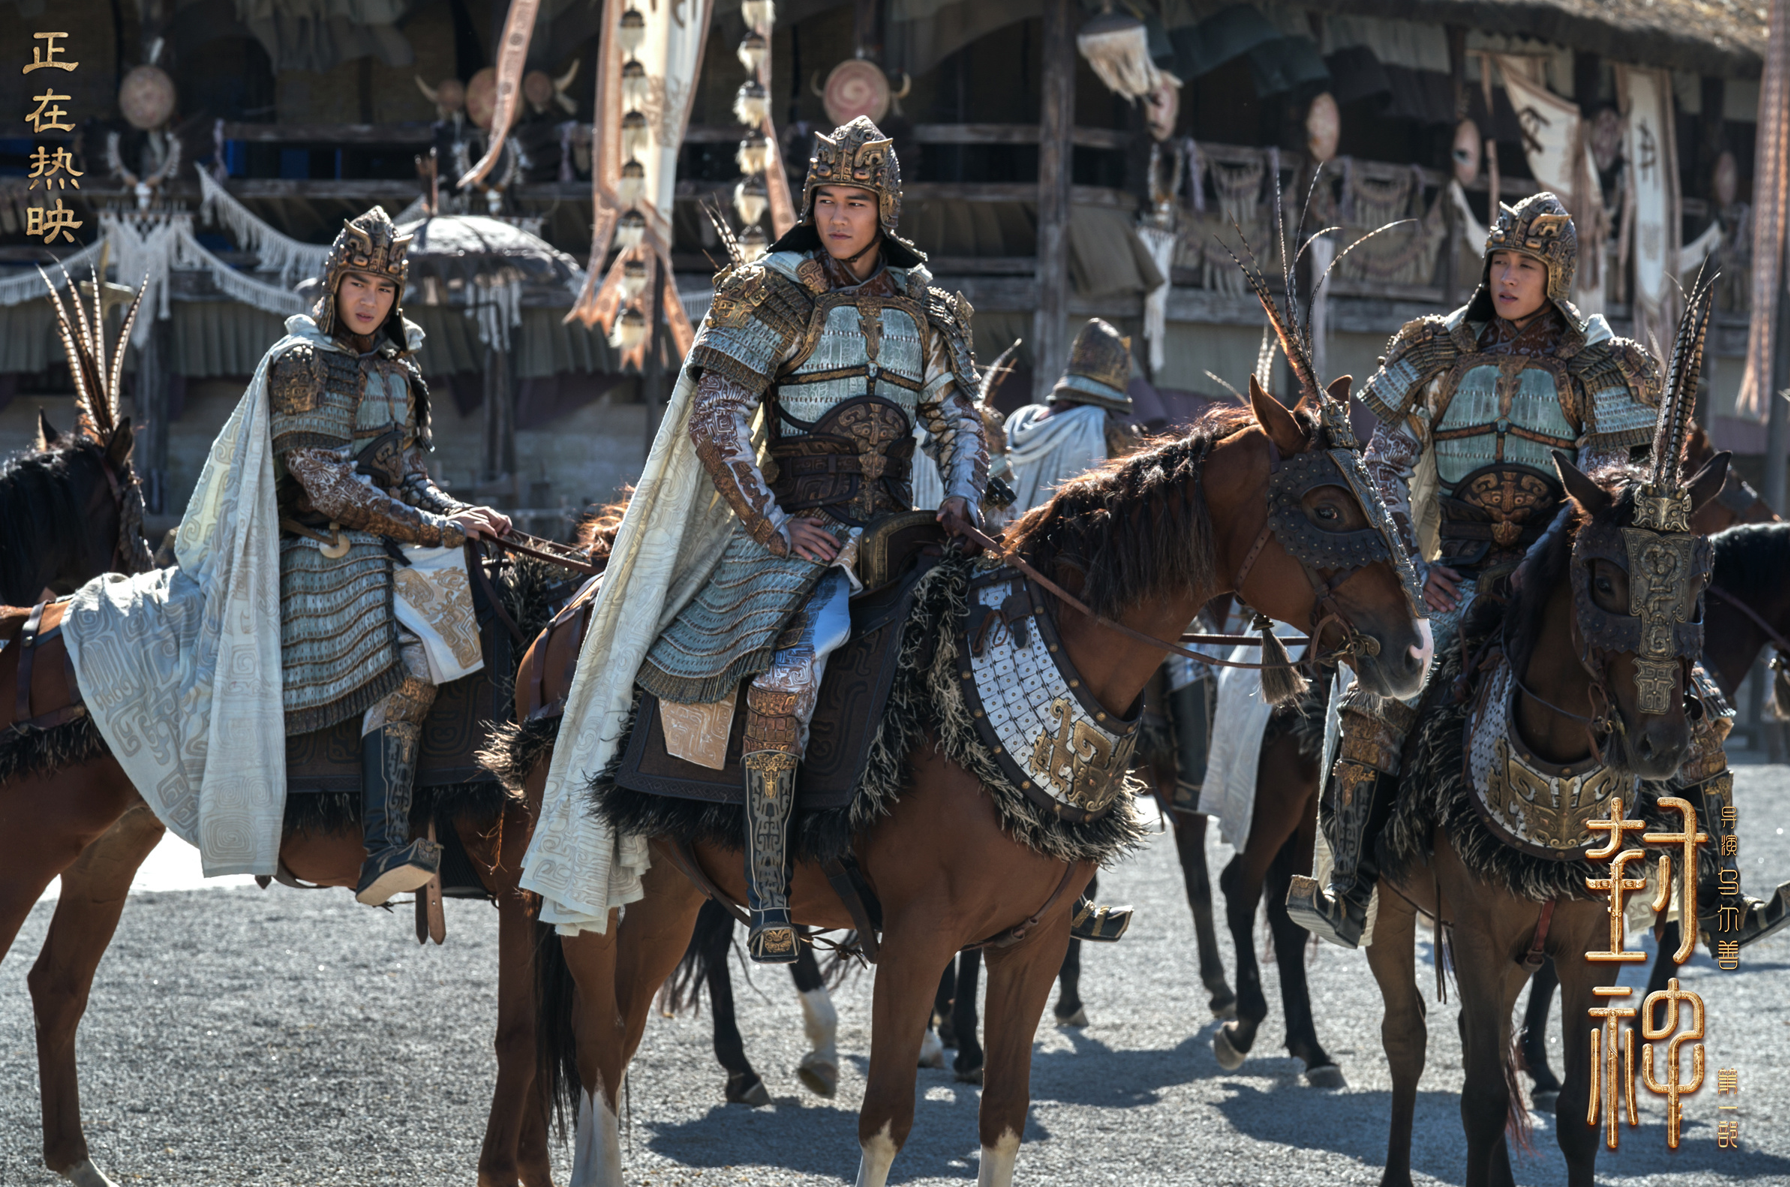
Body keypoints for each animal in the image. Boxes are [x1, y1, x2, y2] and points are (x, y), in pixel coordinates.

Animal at [0, 505, 620, 1187]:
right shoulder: (522, 893)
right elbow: (523, 1040)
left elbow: (543, 1044)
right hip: (24, 853)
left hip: (109, 847)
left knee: (58, 985)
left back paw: (76, 1160)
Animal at [502, 372, 1432, 1187]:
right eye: (1326, 508)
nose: (1416, 651)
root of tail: (566, 610)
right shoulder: (918, 939)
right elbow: (884, 1123)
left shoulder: (1034, 939)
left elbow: (1005, 1118)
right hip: (595, 881)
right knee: (595, 1044)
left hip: (670, 886)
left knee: (618, 1037)